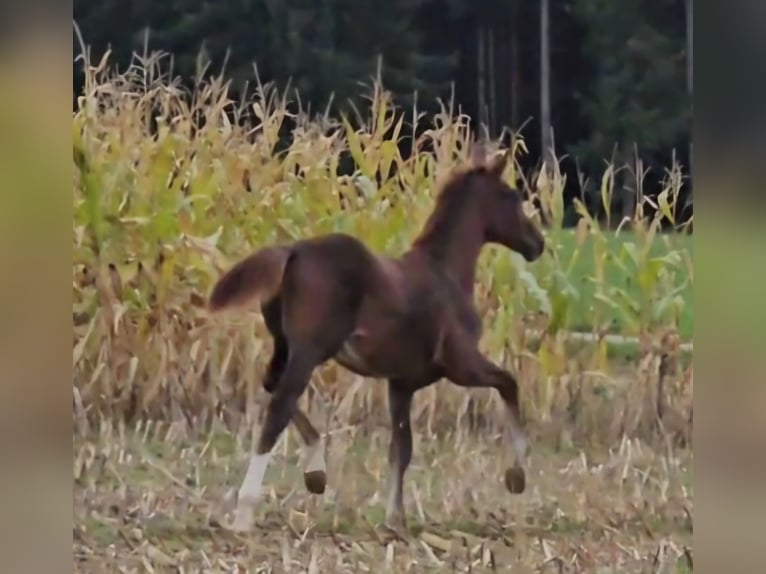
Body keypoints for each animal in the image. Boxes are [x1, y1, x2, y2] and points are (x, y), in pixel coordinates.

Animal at [207, 144, 546, 535]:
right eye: (512, 197)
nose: (538, 243)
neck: (445, 273)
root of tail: (293, 252)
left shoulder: (400, 383)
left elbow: (401, 448)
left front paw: (394, 519)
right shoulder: (462, 364)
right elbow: (509, 383)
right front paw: (516, 476)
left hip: (284, 345)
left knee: (272, 387)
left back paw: (316, 474)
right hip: (310, 350)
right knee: (279, 405)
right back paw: (246, 512)